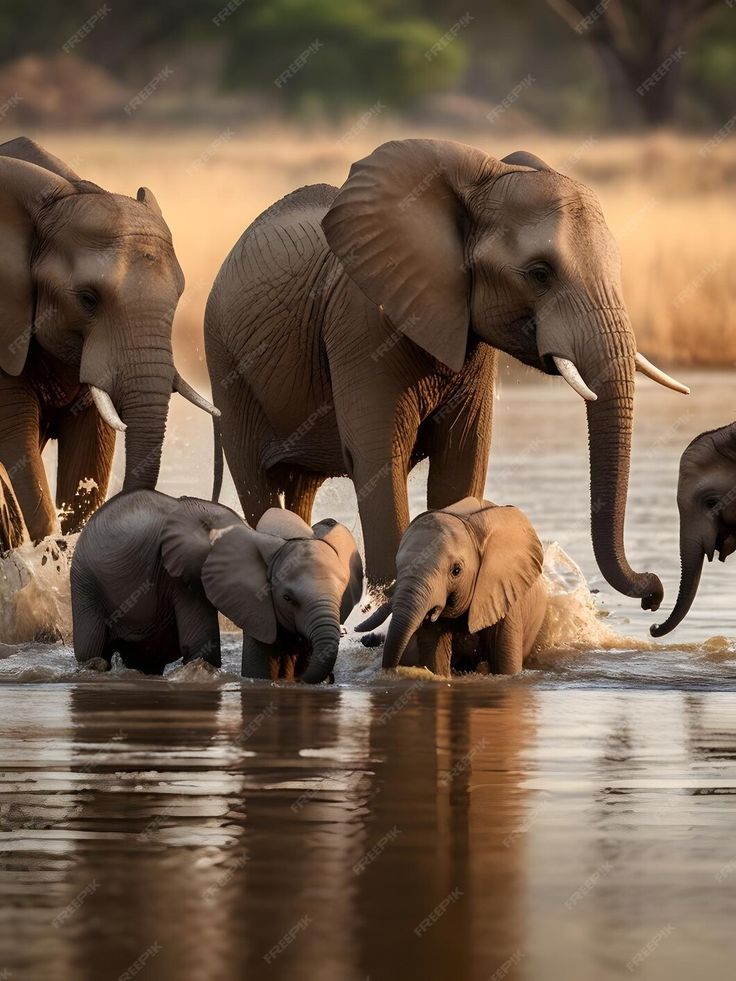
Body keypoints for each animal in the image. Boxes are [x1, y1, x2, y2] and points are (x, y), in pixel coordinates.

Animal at [70, 490, 364, 680]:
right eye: (288, 598)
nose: (330, 680)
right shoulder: (177, 573)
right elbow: (202, 644)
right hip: (85, 582)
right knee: (92, 648)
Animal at [206, 138, 688, 604]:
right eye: (539, 274)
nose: (653, 591)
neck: (486, 176)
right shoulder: (361, 324)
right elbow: (379, 459)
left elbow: (463, 458)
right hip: (226, 361)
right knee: (258, 483)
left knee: (299, 490)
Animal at [356, 494, 548, 676]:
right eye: (398, 567)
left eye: (456, 571)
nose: (358, 629)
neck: (471, 525)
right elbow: (435, 660)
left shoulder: (504, 593)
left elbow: (506, 665)